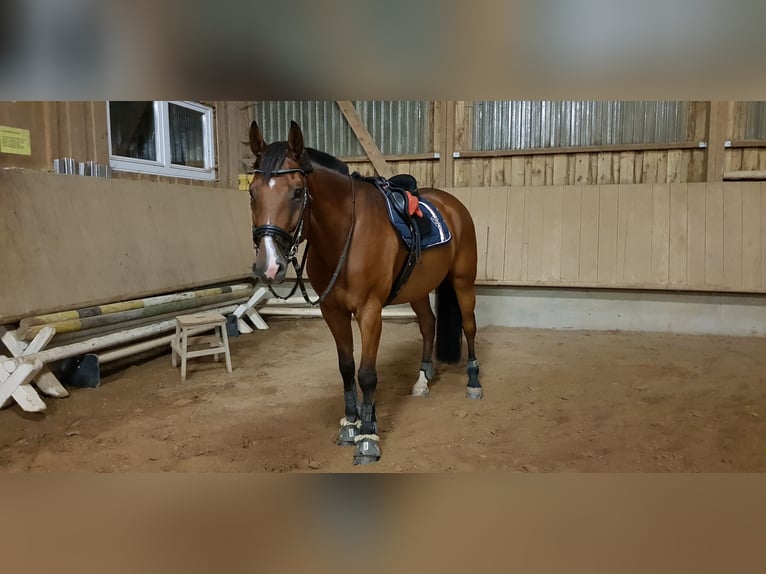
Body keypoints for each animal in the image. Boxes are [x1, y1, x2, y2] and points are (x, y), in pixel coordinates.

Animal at [248, 120, 482, 465]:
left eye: (298, 192)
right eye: (252, 193)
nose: (269, 265)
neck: (346, 233)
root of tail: (453, 205)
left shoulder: (370, 312)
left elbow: (367, 373)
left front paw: (368, 436)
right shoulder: (333, 312)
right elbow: (346, 368)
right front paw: (350, 424)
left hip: (463, 281)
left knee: (469, 326)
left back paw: (474, 381)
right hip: (418, 289)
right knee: (428, 324)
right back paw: (422, 380)